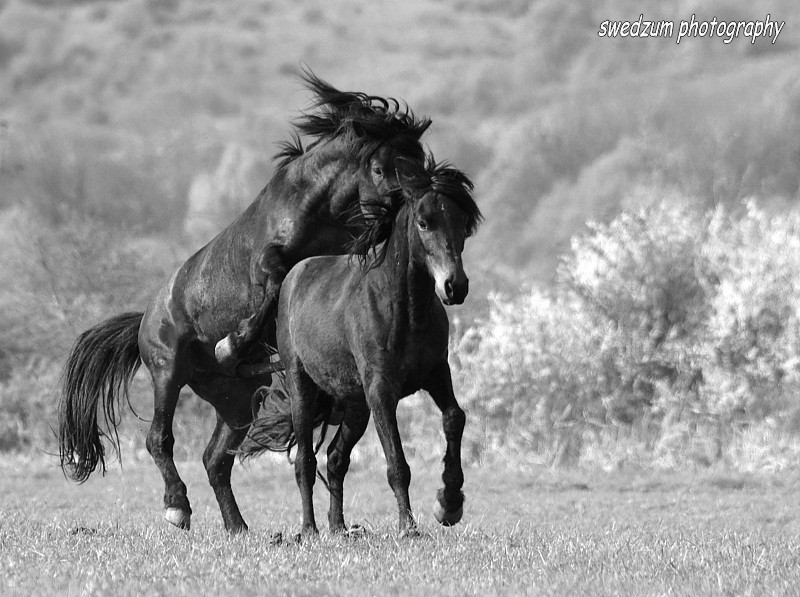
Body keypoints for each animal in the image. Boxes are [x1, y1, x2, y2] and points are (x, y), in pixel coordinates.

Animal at [57, 70, 432, 532]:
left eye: (419, 161)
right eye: (380, 167)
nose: (412, 205)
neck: (318, 210)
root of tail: (147, 316)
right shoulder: (268, 262)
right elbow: (272, 284)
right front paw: (230, 344)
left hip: (234, 402)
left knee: (215, 459)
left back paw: (237, 527)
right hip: (167, 370)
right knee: (159, 438)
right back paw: (177, 506)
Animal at [239, 156, 482, 536]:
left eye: (462, 225)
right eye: (424, 222)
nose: (454, 286)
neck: (404, 310)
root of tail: (293, 276)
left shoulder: (436, 373)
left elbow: (455, 418)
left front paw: (449, 503)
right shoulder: (381, 389)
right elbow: (397, 463)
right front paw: (409, 527)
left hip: (354, 404)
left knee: (335, 459)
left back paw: (339, 528)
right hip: (302, 387)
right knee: (305, 462)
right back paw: (309, 530)